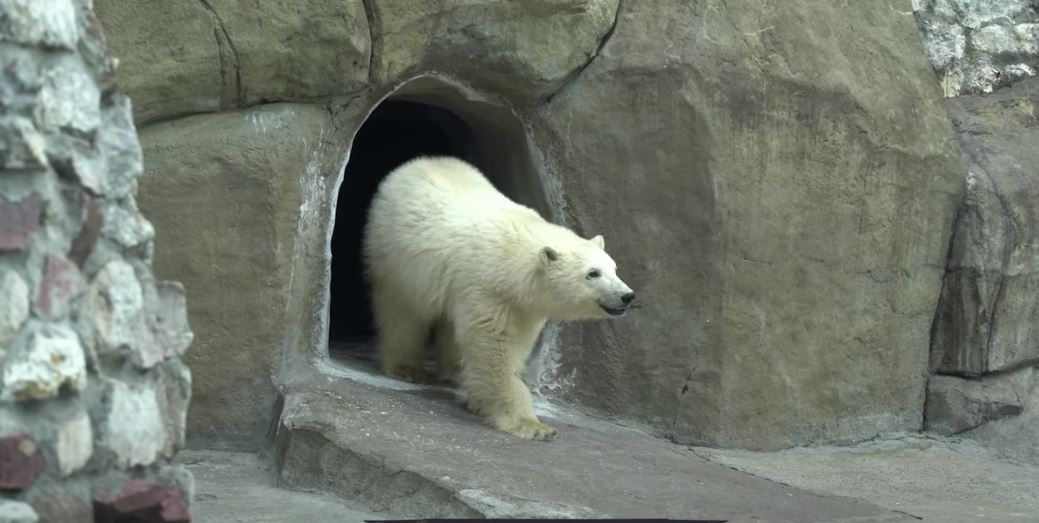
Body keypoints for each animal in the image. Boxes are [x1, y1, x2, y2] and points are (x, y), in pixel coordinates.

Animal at [361, 157, 631, 442]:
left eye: (614, 268)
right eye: (593, 273)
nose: (627, 296)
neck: (512, 260)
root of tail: (415, 163)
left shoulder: (523, 305)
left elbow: (513, 347)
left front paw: (481, 401)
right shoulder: (487, 288)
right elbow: (494, 347)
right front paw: (533, 426)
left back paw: (456, 372)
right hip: (395, 254)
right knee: (401, 311)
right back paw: (406, 368)